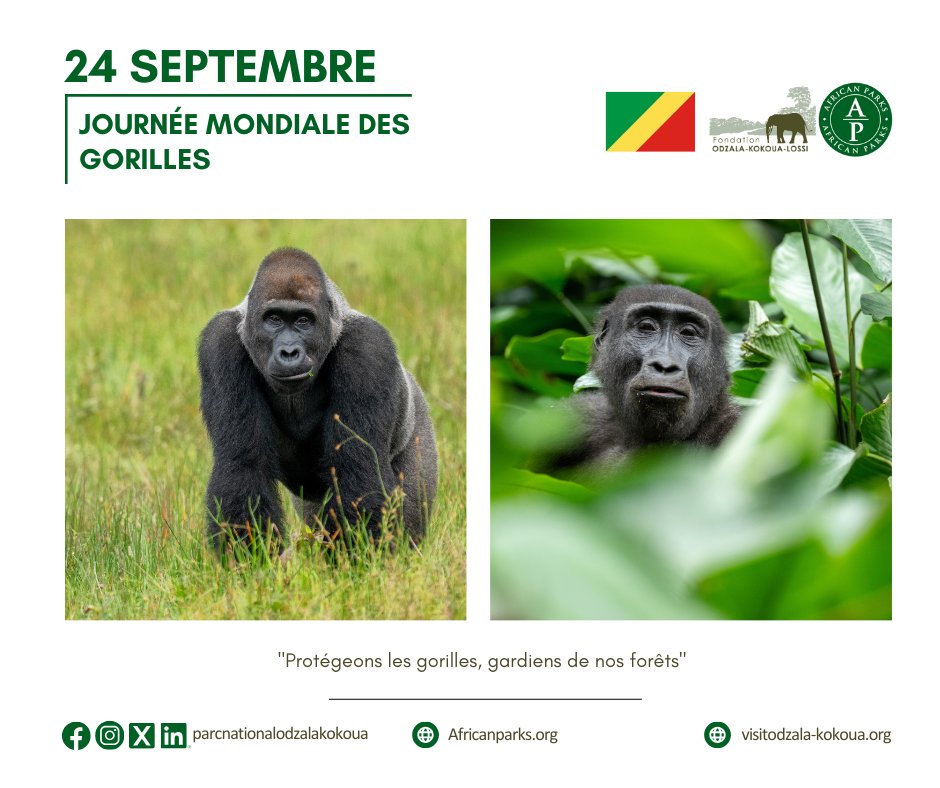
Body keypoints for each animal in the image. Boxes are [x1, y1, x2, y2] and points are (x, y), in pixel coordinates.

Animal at [198, 247, 437, 552]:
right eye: (273, 319)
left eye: (303, 321)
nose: (289, 352)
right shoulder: (220, 343)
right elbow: (243, 465)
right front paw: (250, 557)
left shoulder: (369, 348)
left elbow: (357, 468)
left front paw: (359, 557)